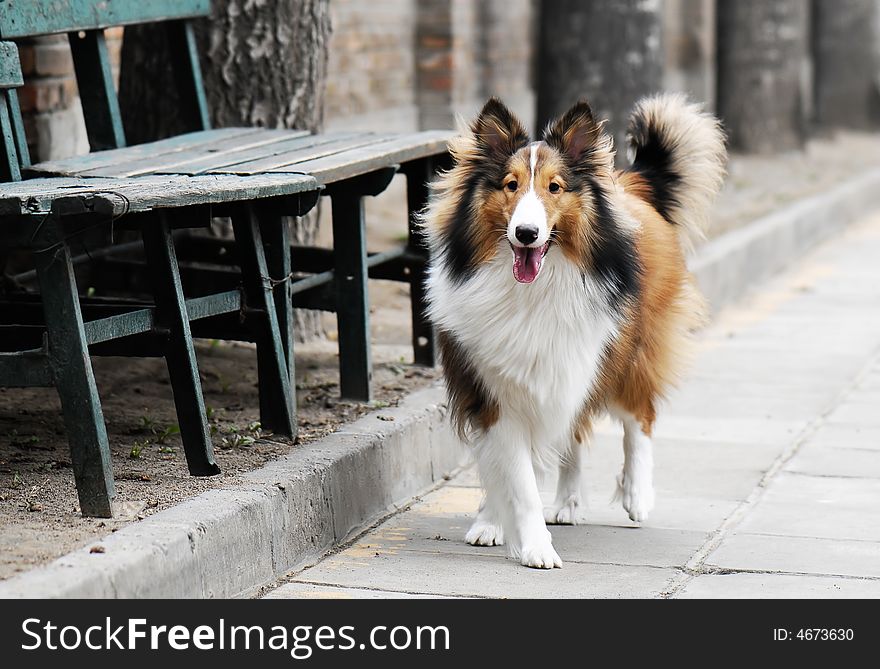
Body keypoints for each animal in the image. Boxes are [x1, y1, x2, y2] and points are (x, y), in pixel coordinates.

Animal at [422, 94, 724, 568]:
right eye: (510, 185)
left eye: (555, 187)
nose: (527, 234)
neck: (531, 292)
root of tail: (629, 182)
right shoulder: (495, 393)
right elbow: (514, 475)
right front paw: (508, 529)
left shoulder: (569, 365)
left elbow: (529, 468)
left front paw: (533, 545)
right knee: (575, 434)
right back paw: (564, 504)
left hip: (624, 356)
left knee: (640, 417)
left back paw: (637, 495)